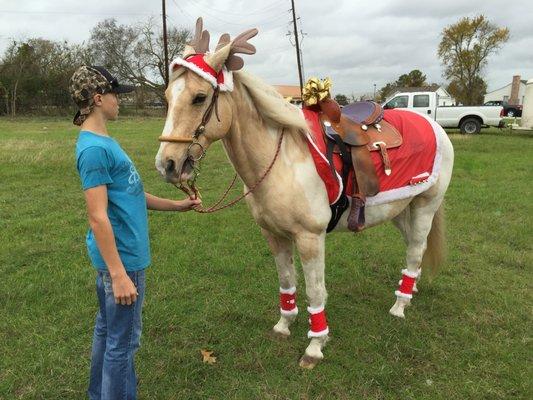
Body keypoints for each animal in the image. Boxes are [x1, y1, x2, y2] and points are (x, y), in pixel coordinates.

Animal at [154, 18, 454, 368]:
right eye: (167, 96)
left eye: (200, 97)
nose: (167, 164)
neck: (282, 161)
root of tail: (435, 126)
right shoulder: (274, 235)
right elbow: (287, 282)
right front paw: (284, 325)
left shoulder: (310, 238)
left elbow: (315, 291)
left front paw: (315, 345)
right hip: (399, 209)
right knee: (414, 249)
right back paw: (410, 288)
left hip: (425, 206)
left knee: (417, 248)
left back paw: (399, 305)